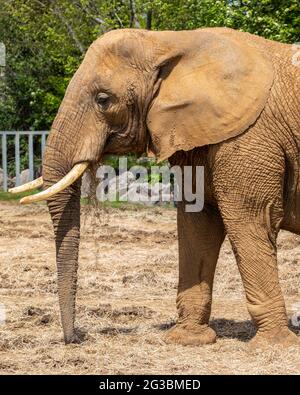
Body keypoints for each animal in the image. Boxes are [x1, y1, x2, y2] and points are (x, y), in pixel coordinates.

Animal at [10, 27, 298, 346]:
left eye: (103, 99)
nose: (75, 338)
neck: (169, 41)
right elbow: (198, 222)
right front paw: (187, 339)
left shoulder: (250, 137)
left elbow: (252, 220)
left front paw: (273, 345)